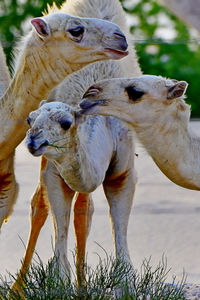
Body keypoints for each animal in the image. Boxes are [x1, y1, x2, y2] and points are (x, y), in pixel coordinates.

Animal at [7, 0, 141, 292]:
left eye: (67, 122)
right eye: (30, 119)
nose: (33, 140)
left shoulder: (123, 171)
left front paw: (92, 288)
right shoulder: (55, 171)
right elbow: (53, 216)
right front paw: (60, 283)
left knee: (84, 208)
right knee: (40, 203)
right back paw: (18, 287)